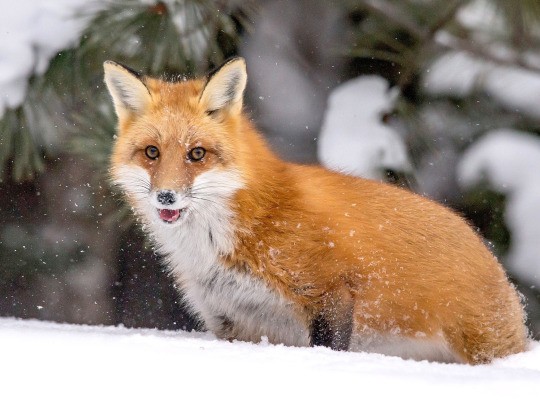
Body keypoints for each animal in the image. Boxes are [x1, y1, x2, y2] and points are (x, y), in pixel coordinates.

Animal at [103, 57, 528, 360]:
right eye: (152, 153)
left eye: (197, 154)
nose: (166, 197)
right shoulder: (231, 319)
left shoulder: (328, 291)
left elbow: (327, 348)